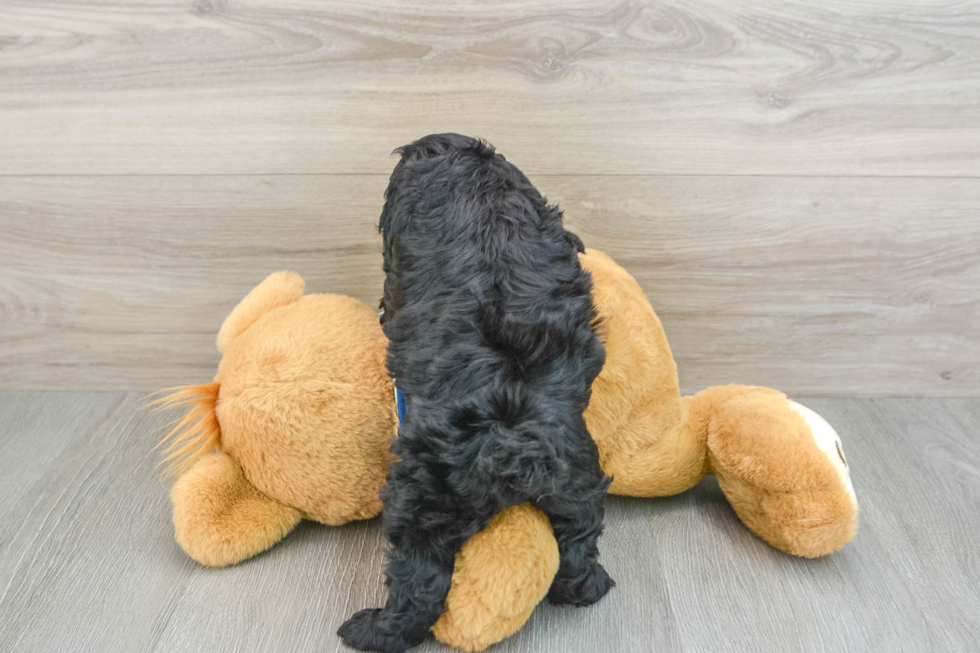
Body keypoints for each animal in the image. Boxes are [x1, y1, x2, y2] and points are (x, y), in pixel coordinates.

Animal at [338, 134, 612, 652]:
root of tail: (510, 442)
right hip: (576, 476)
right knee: (579, 544)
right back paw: (591, 585)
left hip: (423, 499)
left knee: (419, 584)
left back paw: (370, 629)